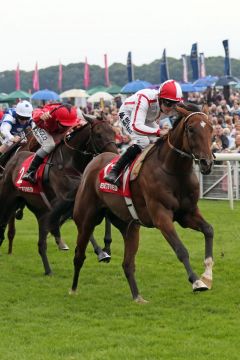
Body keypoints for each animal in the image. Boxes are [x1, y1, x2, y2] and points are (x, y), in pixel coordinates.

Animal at [0, 116, 117, 274]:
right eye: (98, 135)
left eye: (114, 133)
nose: (115, 155)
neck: (70, 162)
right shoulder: (64, 198)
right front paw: (101, 251)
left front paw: (104, 249)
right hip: (8, 199)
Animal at [71, 103, 214, 300]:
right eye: (191, 129)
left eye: (211, 128)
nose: (207, 163)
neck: (174, 171)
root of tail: (95, 160)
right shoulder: (161, 216)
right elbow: (181, 250)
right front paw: (196, 281)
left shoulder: (188, 213)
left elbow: (209, 230)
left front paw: (207, 275)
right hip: (86, 219)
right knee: (79, 254)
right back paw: (73, 289)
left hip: (129, 226)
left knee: (127, 263)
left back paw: (137, 297)